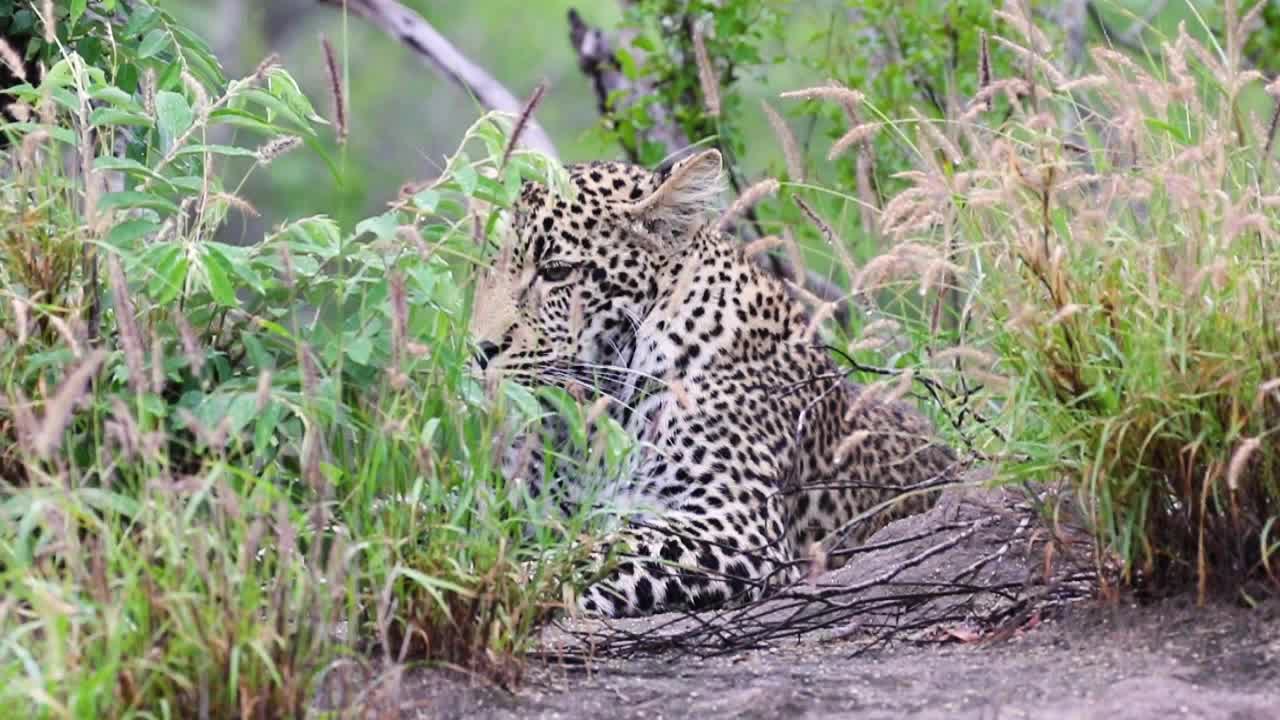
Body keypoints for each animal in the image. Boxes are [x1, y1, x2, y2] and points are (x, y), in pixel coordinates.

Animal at [471, 148, 958, 618]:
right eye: (486, 264)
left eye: (555, 271)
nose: (479, 349)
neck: (588, 420)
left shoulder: (735, 522)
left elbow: (603, 550)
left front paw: (505, 584)